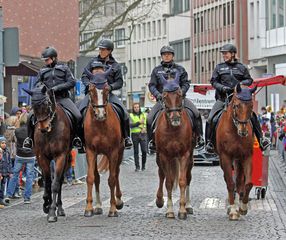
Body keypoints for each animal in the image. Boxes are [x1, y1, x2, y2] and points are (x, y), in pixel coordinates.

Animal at [24, 85, 72, 222]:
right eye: (33, 106)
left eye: (47, 104)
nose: (43, 128)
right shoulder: (42, 157)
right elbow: (47, 181)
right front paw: (46, 203)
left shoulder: (60, 156)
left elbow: (55, 183)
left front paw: (51, 211)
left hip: (67, 158)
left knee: (60, 181)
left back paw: (59, 208)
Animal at [82, 69, 123, 218]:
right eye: (90, 90)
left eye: (106, 89)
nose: (100, 114)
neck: (100, 125)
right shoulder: (90, 151)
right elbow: (90, 177)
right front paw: (89, 208)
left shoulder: (113, 151)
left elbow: (111, 179)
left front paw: (113, 208)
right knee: (97, 177)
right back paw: (98, 206)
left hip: (120, 151)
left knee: (116, 173)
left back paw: (119, 201)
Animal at [154, 74, 194, 219]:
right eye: (164, 95)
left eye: (180, 94)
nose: (175, 118)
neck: (173, 129)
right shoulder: (165, 155)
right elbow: (169, 182)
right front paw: (170, 210)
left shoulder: (184, 155)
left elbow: (182, 181)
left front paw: (182, 210)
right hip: (159, 157)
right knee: (161, 175)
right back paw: (160, 200)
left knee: (188, 178)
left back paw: (188, 206)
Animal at [216, 83, 256, 220]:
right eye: (237, 105)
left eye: (251, 105)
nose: (243, 131)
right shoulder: (226, 157)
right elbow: (230, 183)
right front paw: (233, 210)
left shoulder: (247, 156)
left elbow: (248, 183)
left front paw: (242, 208)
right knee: (230, 181)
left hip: (238, 160)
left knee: (239, 181)